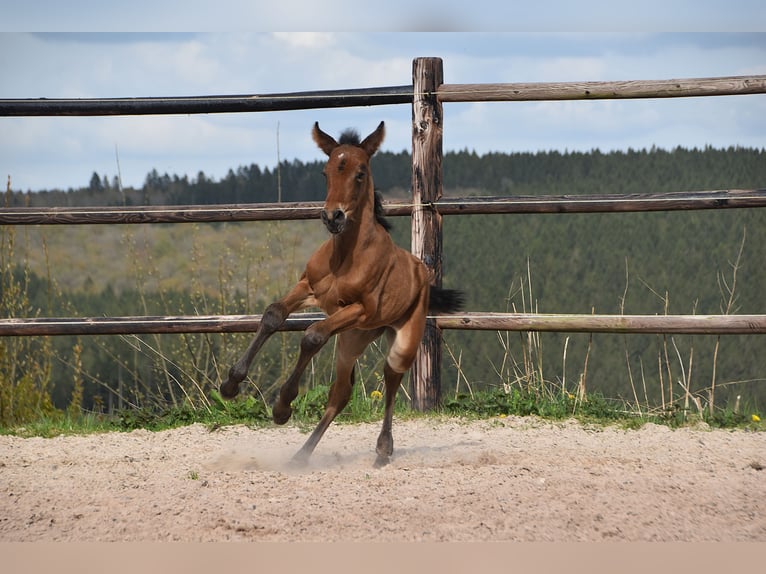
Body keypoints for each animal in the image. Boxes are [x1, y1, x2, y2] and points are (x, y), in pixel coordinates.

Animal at [220, 121, 463, 467]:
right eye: (325, 172)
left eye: (360, 173)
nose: (333, 217)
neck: (345, 257)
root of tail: (422, 275)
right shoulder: (308, 287)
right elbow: (273, 315)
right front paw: (230, 384)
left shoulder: (360, 308)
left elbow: (312, 336)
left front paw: (282, 406)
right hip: (353, 338)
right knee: (341, 393)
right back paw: (301, 456)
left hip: (400, 338)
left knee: (391, 378)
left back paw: (383, 450)